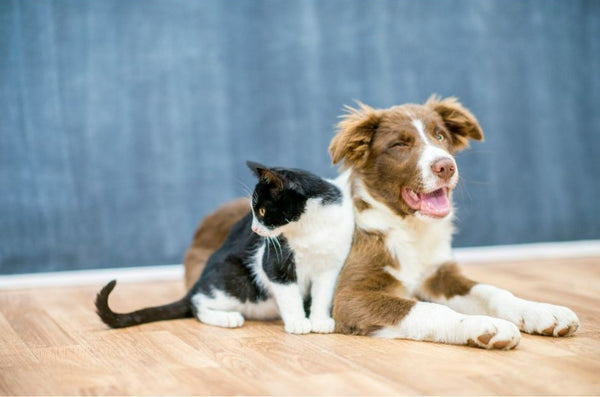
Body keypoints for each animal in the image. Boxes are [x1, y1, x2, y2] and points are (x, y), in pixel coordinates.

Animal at [95, 159, 354, 332]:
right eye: (253, 212)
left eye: (262, 211)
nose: (255, 230)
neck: (309, 228)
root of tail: (197, 282)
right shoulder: (273, 260)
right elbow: (288, 293)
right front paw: (298, 322)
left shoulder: (331, 265)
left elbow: (323, 294)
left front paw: (319, 321)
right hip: (235, 279)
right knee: (197, 303)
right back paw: (227, 318)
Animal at [185, 96, 580, 350]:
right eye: (399, 145)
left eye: (440, 136)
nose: (446, 166)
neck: (407, 229)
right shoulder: (351, 295)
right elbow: (427, 309)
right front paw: (483, 326)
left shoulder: (438, 273)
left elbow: (493, 291)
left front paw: (542, 312)